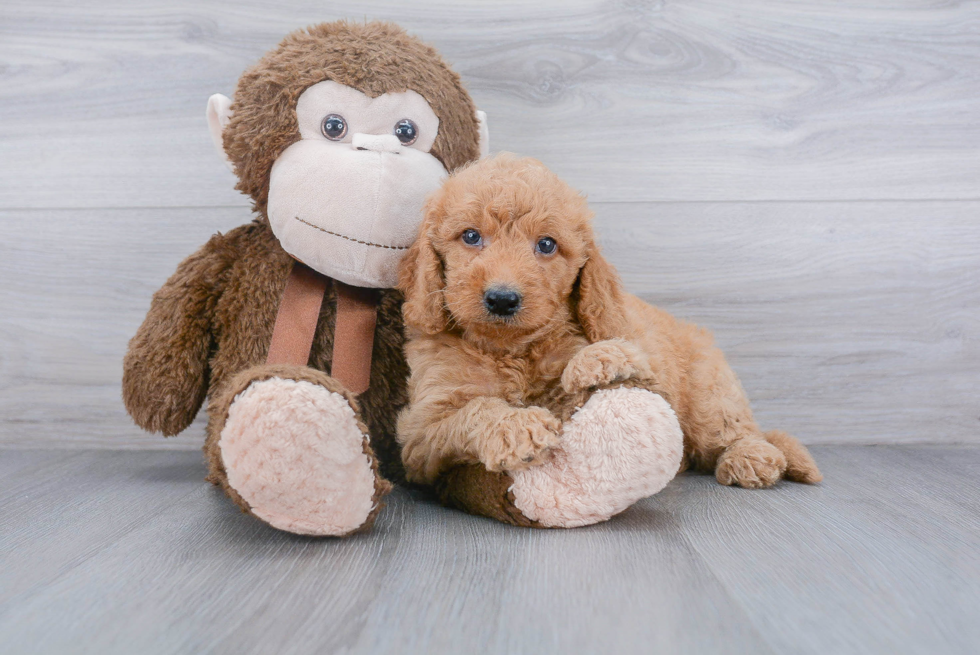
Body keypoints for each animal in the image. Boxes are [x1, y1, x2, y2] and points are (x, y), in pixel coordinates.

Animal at [396, 155, 820, 486]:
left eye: (546, 245)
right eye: (470, 236)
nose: (502, 299)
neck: (510, 349)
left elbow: (584, 382)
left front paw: (600, 360)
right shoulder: (421, 435)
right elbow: (476, 409)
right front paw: (518, 426)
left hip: (710, 393)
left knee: (736, 431)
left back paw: (749, 458)